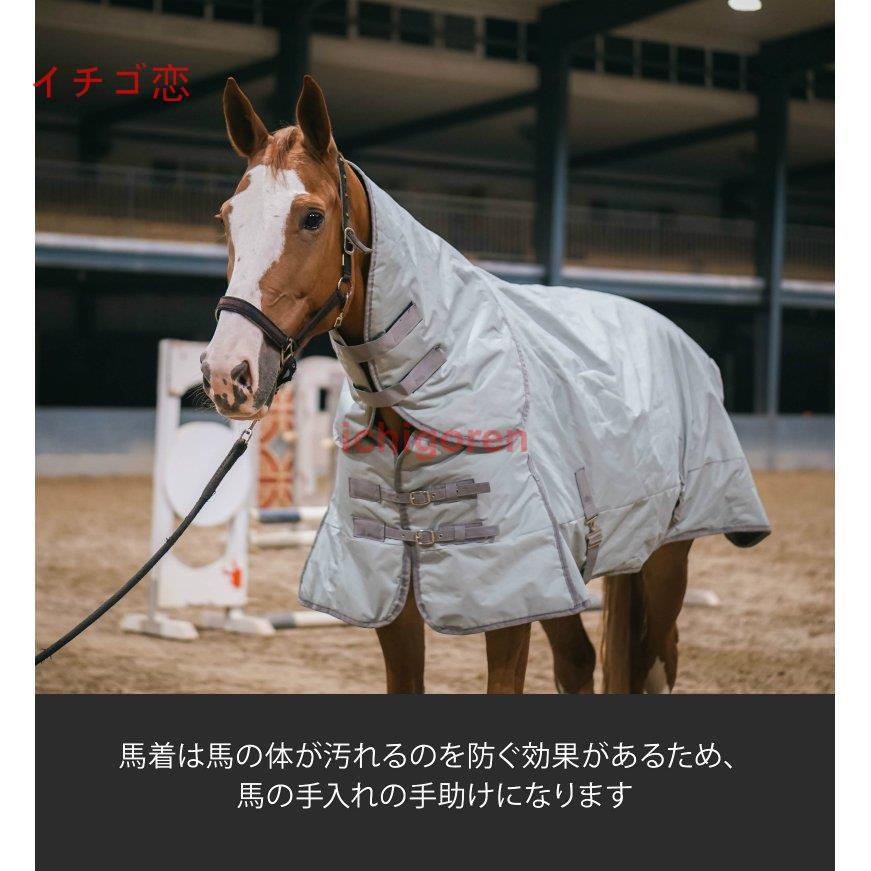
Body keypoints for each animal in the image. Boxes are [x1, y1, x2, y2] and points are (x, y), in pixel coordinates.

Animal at [201, 75, 768, 694]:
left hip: (664, 559)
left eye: (310, 218)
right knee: (579, 661)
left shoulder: (507, 599)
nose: (227, 372)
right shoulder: (393, 592)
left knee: (658, 659)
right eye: (227, 217)